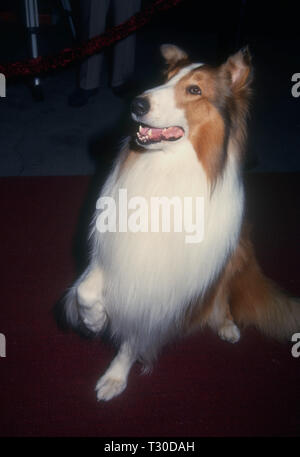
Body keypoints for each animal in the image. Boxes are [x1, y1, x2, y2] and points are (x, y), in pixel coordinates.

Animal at [64, 42, 298, 400]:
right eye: (165, 79)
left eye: (194, 90)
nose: (136, 103)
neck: (167, 167)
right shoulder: (115, 248)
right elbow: (86, 290)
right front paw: (94, 321)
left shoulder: (166, 285)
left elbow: (136, 333)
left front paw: (116, 375)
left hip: (237, 253)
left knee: (223, 295)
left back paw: (226, 324)